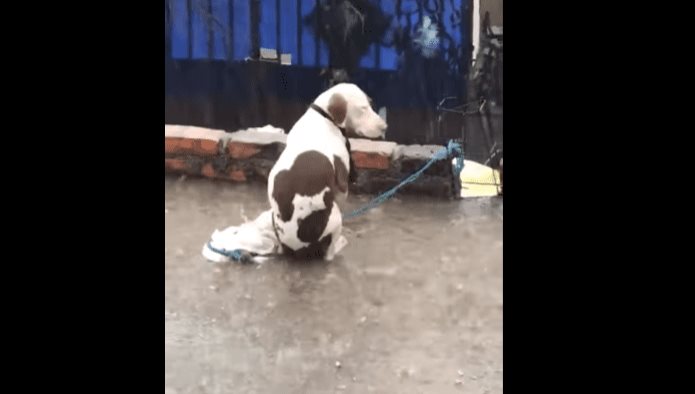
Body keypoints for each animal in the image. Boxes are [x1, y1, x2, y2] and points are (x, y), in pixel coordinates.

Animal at [268, 82, 388, 262]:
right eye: (362, 108)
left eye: (371, 103)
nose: (384, 127)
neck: (324, 117)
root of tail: (298, 249)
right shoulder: (342, 186)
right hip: (335, 219)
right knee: (329, 254)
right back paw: (340, 243)